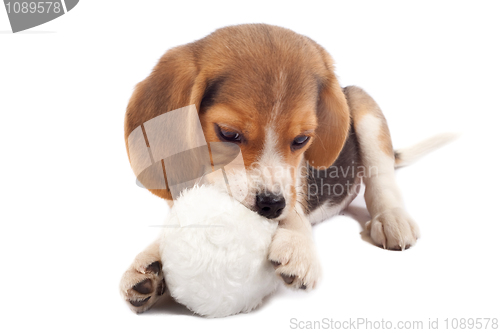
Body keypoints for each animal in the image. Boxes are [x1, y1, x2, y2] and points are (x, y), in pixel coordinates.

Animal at [119, 24, 424, 312]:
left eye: (301, 140)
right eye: (228, 134)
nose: (271, 204)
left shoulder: (294, 186)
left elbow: (295, 214)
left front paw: (297, 244)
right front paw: (150, 262)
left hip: (364, 106)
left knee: (381, 178)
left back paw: (391, 218)